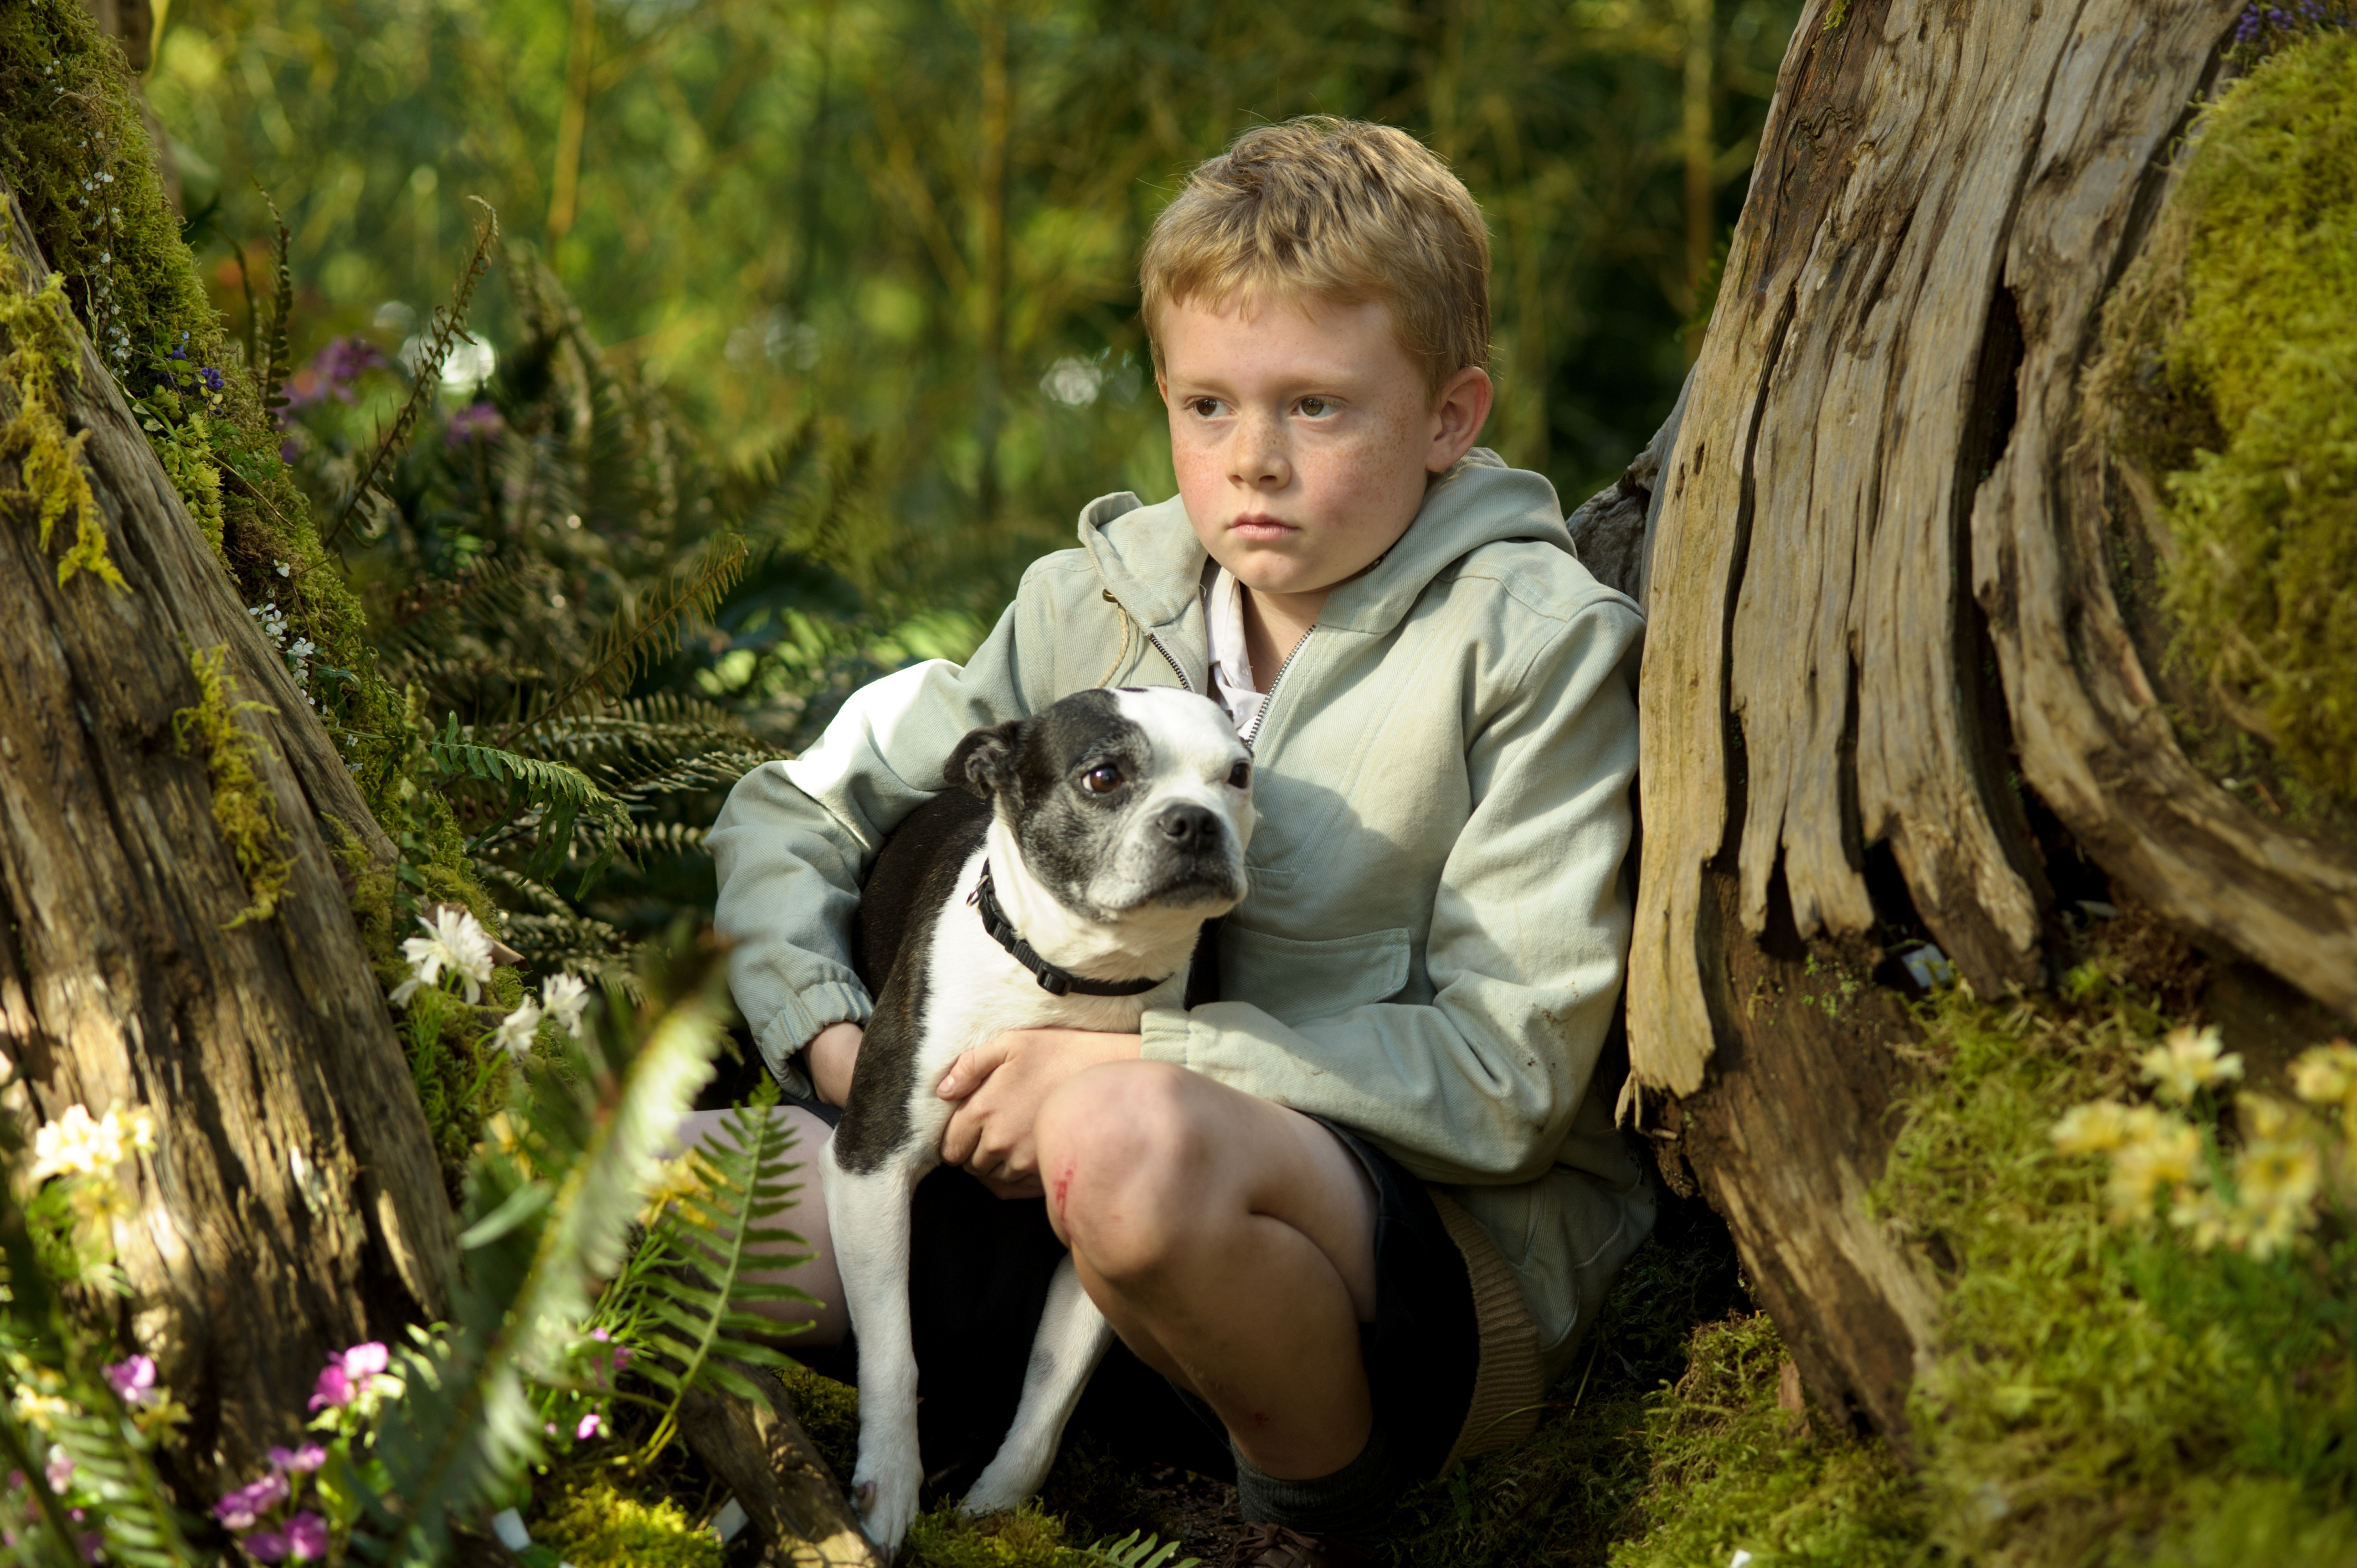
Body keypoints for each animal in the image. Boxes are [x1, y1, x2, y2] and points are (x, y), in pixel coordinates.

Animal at [830, 688, 1263, 1556]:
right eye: (1103, 777)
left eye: (1236, 775)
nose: (1195, 820)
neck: (1077, 977)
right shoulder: (869, 1164)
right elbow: (892, 1351)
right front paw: (888, 1491)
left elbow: (1053, 1384)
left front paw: (996, 1512)